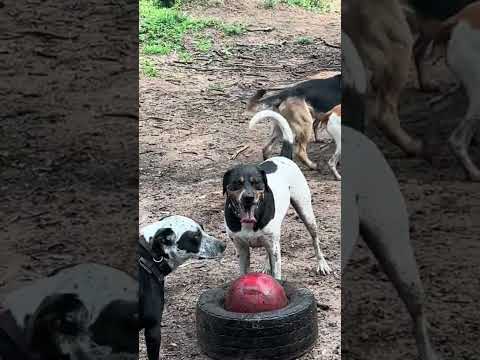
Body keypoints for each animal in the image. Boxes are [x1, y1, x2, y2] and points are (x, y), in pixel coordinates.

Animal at [223, 112, 332, 278]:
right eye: (236, 183)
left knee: (315, 239)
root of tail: (284, 157)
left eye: (257, 183)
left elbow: (277, 273)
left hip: (306, 212)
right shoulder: (242, 248)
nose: (248, 198)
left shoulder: (274, 248)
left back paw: (322, 264)